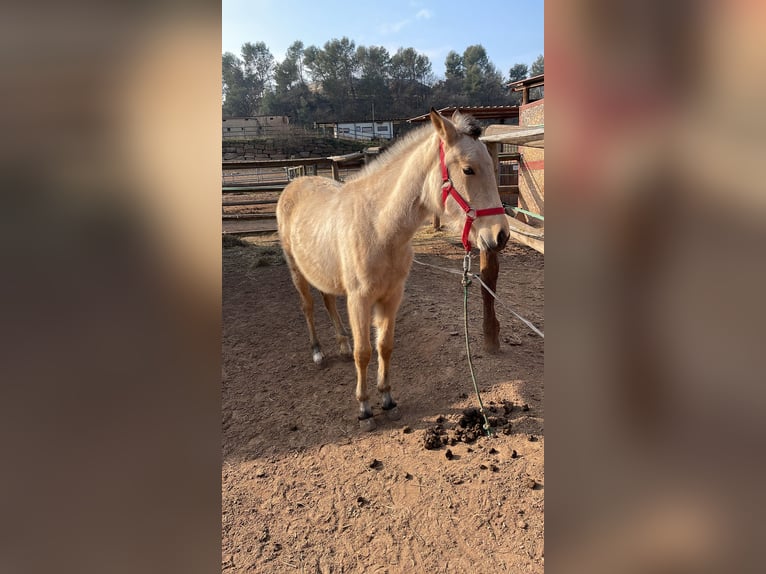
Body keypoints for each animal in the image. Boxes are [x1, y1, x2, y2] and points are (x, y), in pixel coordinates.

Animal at [276, 108, 510, 432]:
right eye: (468, 170)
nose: (501, 236)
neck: (378, 227)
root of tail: (293, 185)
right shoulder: (359, 300)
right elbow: (364, 352)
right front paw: (364, 409)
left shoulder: (392, 297)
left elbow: (384, 346)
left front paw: (388, 400)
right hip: (296, 271)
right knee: (308, 306)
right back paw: (318, 352)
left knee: (327, 302)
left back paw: (341, 345)